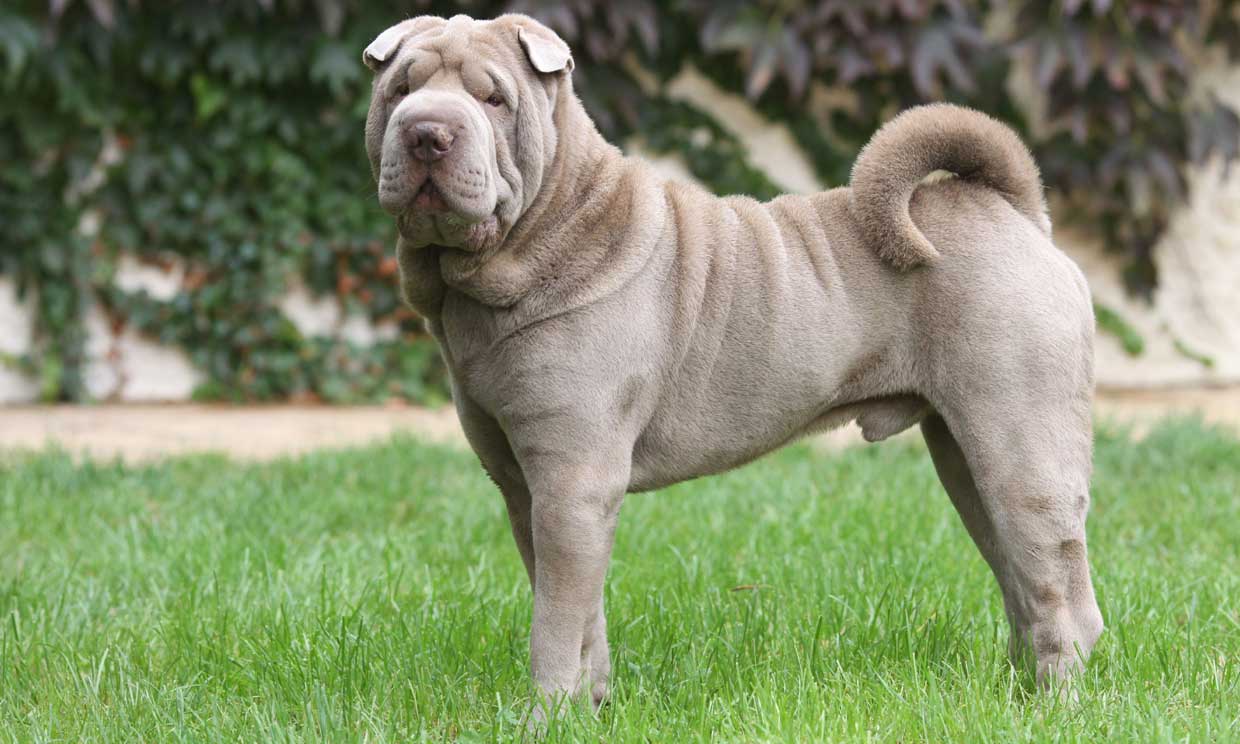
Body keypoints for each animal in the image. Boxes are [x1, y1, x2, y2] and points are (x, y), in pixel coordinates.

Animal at [359, 11, 1106, 719]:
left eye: (493, 99)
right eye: (398, 91)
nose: (426, 132)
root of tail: (1013, 209)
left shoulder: (571, 483)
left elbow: (555, 622)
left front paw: (544, 716)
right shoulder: (528, 487)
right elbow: (578, 611)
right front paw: (590, 708)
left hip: (1020, 450)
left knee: (1059, 592)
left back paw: (1055, 706)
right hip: (964, 454)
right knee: (1022, 577)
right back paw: (1017, 696)